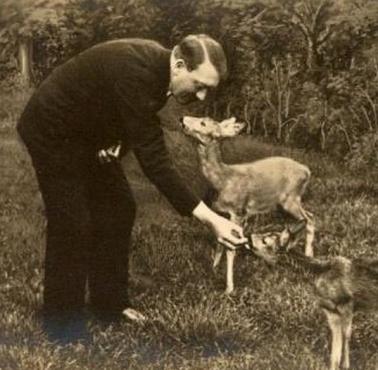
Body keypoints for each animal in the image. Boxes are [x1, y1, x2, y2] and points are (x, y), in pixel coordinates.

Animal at [180, 115, 316, 294]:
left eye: (203, 123)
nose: (182, 119)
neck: (223, 180)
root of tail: (307, 170)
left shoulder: (238, 212)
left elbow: (231, 248)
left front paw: (229, 288)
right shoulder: (221, 213)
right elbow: (219, 242)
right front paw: (214, 268)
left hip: (290, 199)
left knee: (309, 219)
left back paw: (308, 255)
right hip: (284, 204)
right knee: (306, 218)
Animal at [248, 223, 378, 370]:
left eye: (265, 240)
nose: (249, 236)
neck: (318, 274)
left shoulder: (346, 303)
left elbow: (346, 337)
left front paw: (346, 365)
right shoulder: (331, 311)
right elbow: (335, 347)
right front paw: (335, 365)